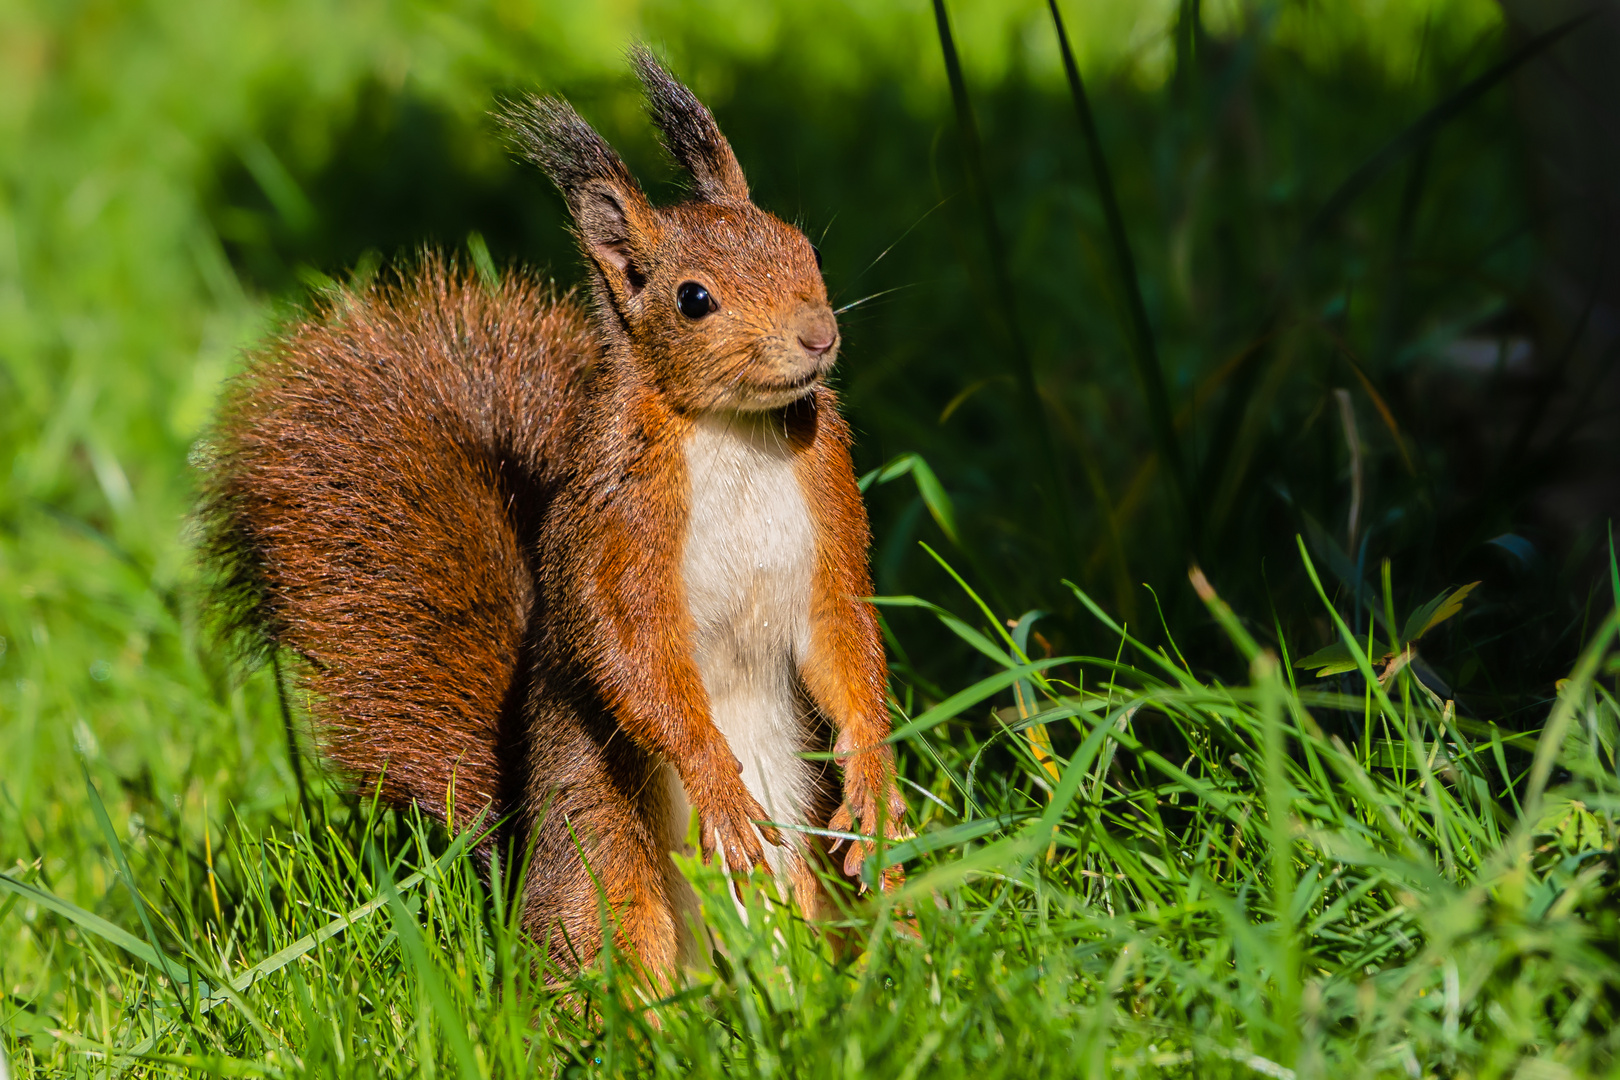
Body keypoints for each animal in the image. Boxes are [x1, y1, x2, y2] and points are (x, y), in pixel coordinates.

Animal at [200, 48, 907, 977]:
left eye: (802, 245)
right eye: (693, 299)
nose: (818, 336)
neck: (732, 429)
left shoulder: (825, 492)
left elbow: (842, 634)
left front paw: (877, 787)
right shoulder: (615, 517)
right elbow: (629, 655)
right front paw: (719, 787)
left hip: (804, 873)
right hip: (598, 859)